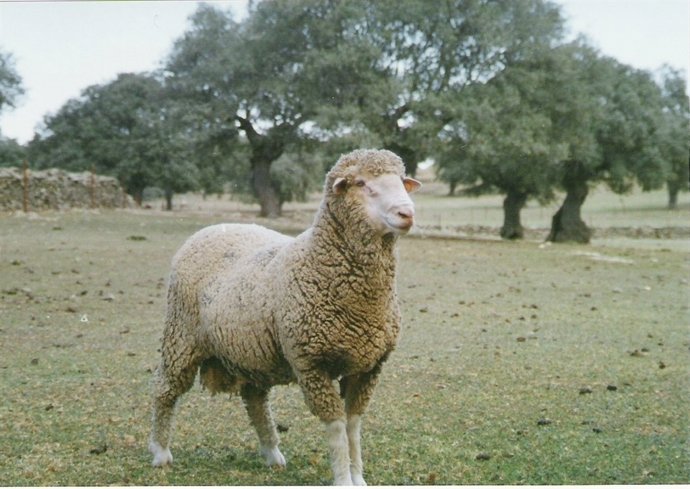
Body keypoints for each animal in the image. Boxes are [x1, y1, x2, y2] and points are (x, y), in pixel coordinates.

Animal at [148, 149, 421, 485]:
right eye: (361, 183)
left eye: (401, 181)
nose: (407, 214)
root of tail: (213, 228)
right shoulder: (312, 363)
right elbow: (336, 426)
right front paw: (343, 477)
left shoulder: (369, 366)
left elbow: (354, 424)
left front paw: (358, 477)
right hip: (181, 336)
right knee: (165, 389)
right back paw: (160, 452)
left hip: (249, 352)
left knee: (254, 400)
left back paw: (272, 453)